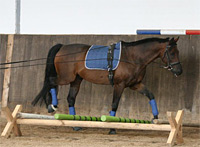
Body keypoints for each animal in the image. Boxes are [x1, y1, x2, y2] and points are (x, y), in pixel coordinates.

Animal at [31, 36, 183, 133]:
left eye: (177, 52)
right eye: (172, 53)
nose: (179, 71)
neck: (132, 57)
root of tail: (62, 47)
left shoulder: (135, 84)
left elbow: (151, 95)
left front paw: (155, 118)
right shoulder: (119, 85)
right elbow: (114, 105)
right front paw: (112, 128)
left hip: (76, 80)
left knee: (70, 98)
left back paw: (75, 125)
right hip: (66, 78)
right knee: (50, 82)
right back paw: (52, 106)